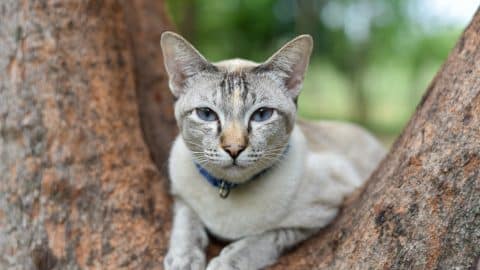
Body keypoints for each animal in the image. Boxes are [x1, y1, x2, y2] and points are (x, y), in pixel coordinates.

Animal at [161, 30, 386, 268]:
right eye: (206, 114)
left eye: (262, 115)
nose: (234, 148)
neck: (227, 189)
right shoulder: (180, 194)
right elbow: (187, 221)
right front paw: (183, 259)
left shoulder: (323, 210)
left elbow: (266, 237)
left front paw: (226, 261)